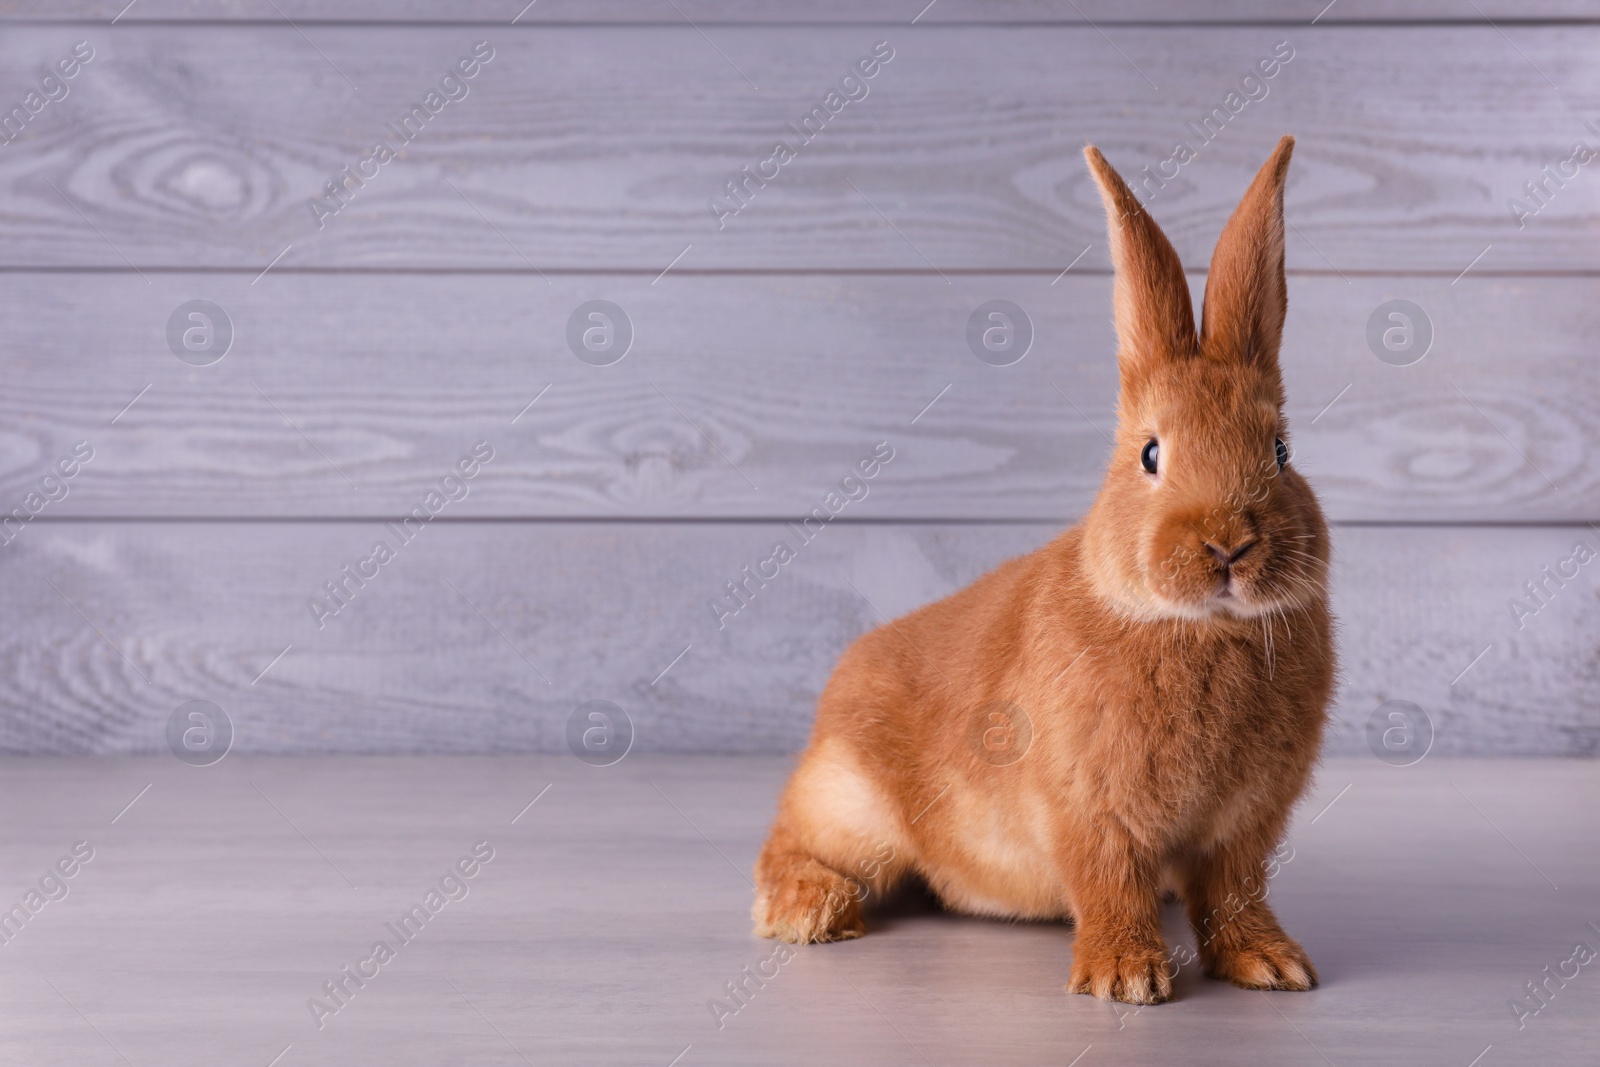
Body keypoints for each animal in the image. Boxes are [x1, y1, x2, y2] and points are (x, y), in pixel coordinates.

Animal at [755, 137, 1331, 1004]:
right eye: (1149, 454)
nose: (1228, 544)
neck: (1199, 628)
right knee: (788, 843)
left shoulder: (1243, 826)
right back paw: (811, 909)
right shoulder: (1089, 809)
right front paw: (1126, 976)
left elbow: (1235, 891)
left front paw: (1271, 963)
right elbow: (1109, 881)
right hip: (851, 803)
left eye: (1282, 451)